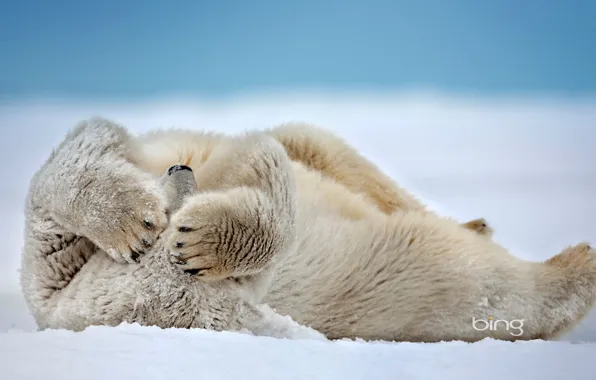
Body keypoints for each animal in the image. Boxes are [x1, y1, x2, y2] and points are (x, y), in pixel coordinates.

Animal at [18, 118, 596, 342]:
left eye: (174, 219)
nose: (183, 171)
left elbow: (87, 147)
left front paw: (150, 225)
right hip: (399, 281)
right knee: (474, 280)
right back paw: (576, 263)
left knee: (326, 149)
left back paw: (478, 222)